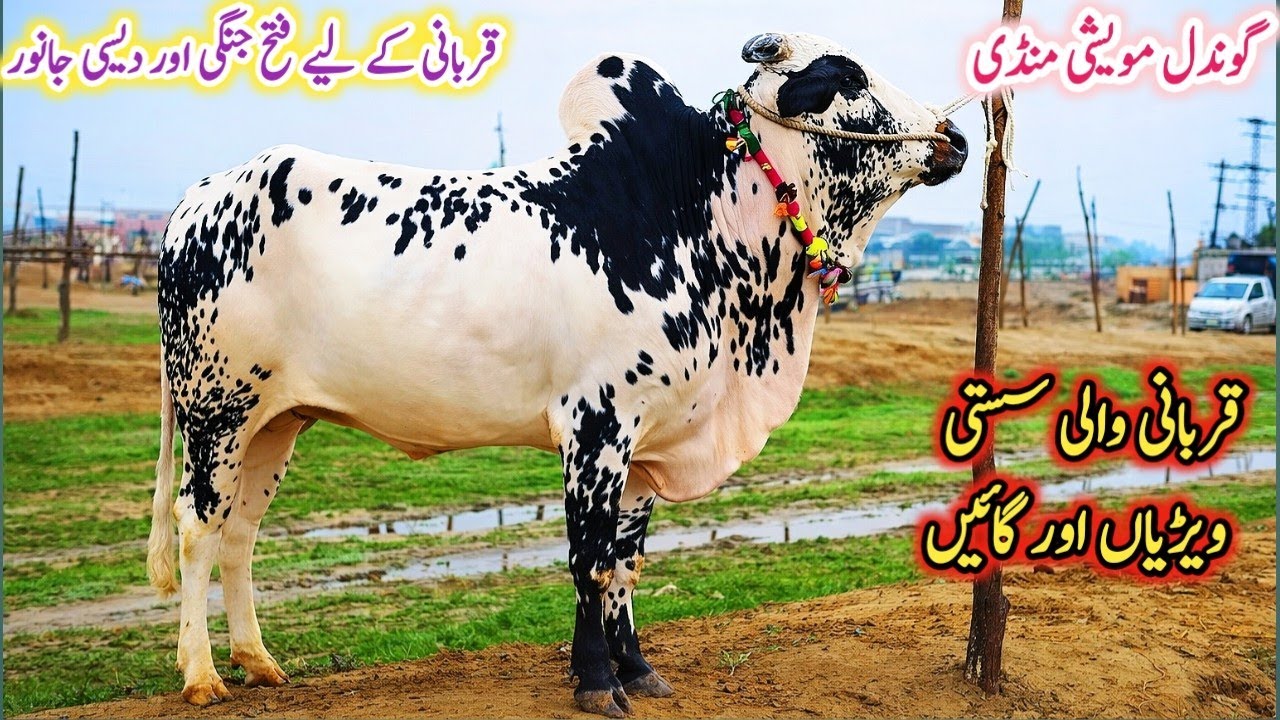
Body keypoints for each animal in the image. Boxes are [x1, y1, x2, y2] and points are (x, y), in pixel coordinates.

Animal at [147, 31, 966, 717]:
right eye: (846, 74)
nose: (954, 137)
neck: (693, 217)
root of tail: (199, 196)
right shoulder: (596, 427)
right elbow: (589, 560)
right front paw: (597, 681)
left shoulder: (644, 443)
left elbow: (627, 565)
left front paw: (637, 670)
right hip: (217, 412)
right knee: (197, 527)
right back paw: (202, 674)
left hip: (276, 422)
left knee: (241, 531)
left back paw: (259, 662)